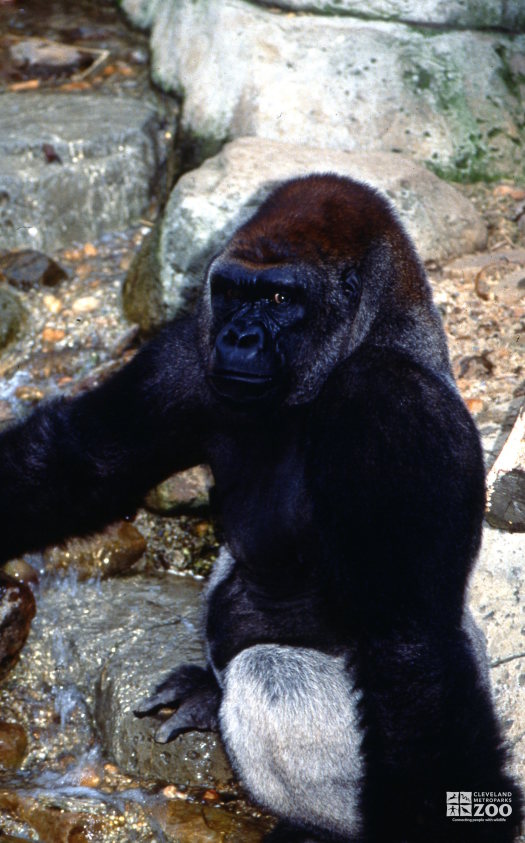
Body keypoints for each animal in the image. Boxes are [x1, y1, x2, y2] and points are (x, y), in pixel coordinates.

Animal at [0, 173, 520, 843]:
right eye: (231, 291)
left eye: (278, 297)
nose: (239, 337)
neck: (371, 334)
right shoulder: (188, 349)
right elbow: (80, 460)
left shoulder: (395, 408)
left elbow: (411, 647)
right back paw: (205, 692)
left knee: (268, 676)